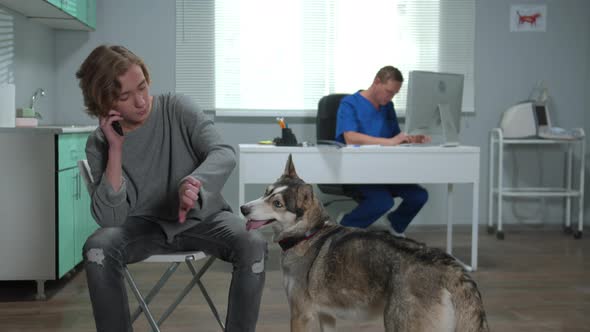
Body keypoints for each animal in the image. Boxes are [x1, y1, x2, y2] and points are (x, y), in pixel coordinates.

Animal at [240, 156, 490, 332]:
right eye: (265, 192)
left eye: (277, 204)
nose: (243, 208)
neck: (308, 234)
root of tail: (454, 269)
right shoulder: (326, 316)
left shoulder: (300, 314)